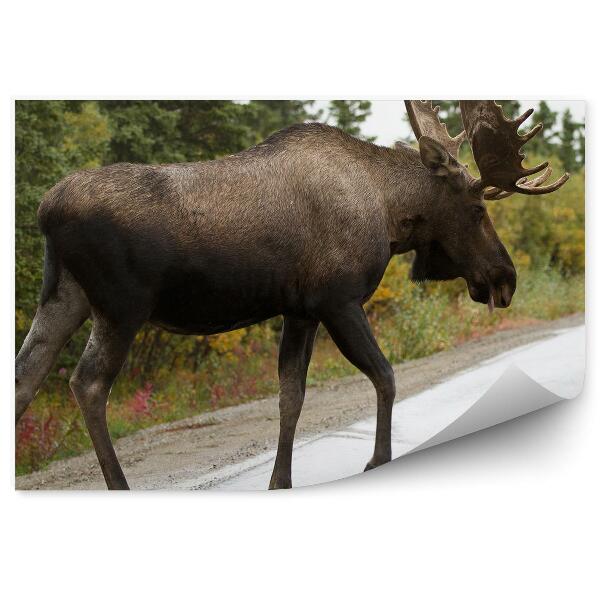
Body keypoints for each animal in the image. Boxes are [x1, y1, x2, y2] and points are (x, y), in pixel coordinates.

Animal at [14, 101, 568, 490]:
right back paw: (120, 483)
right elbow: (386, 377)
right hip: (121, 307)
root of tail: (45, 210)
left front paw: (280, 480)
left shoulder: (300, 310)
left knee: (24, 379)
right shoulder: (338, 300)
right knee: (87, 385)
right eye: (477, 209)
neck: (390, 212)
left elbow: (291, 396)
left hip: (63, 298)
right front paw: (377, 460)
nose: (505, 277)